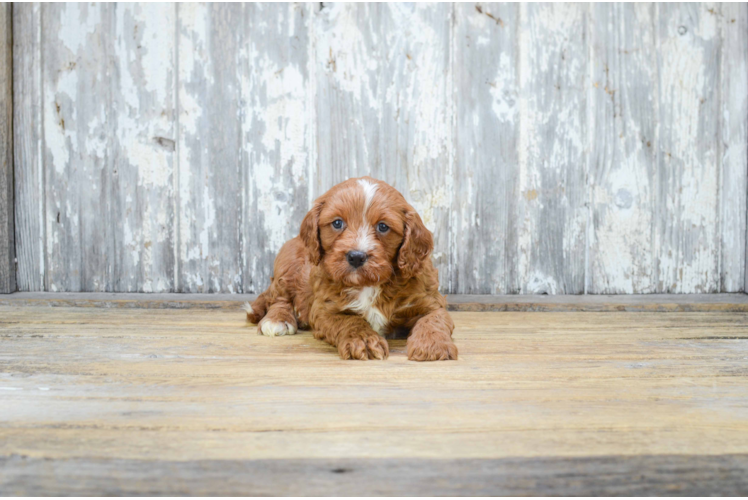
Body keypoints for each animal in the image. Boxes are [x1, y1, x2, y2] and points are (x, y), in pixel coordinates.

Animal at [245, 178, 456, 362]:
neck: (369, 284)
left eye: (383, 226)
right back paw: (277, 320)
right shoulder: (324, 309)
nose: (356, 256)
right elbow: (350, 321)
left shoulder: (429, 299)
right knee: (278, 298)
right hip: (288, 265)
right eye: (337, 223)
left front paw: (433, 345)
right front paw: (364, 341)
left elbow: (434, 319)